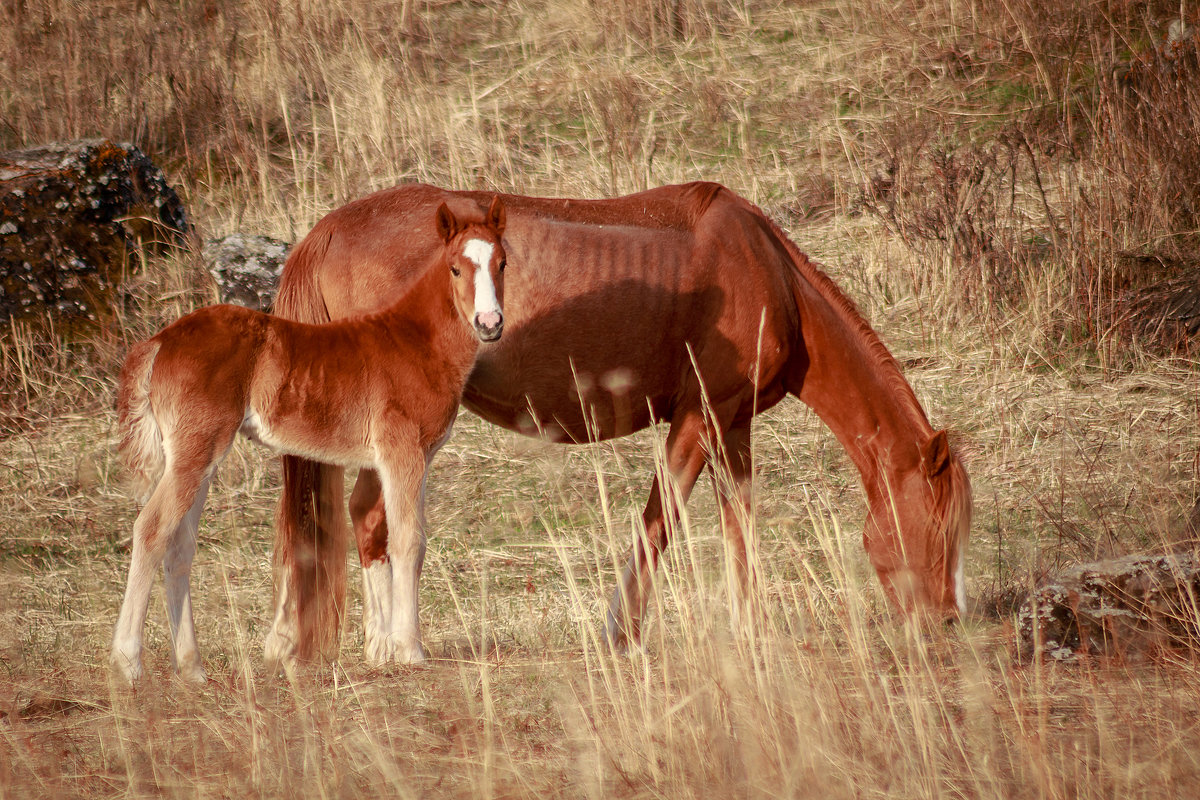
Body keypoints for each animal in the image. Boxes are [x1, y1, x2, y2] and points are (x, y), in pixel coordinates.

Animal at [110, 196, 508, 681]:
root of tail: (160, 342)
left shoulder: (413, 458)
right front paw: (410, 649)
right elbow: (408, 541)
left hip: (193, 455)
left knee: (178, 545)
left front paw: (389, 648)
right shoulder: (402, 453)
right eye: (455, 269)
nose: (489, 323)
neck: (414, 341)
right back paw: (127, 662)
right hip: (196, 450)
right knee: (151, 530)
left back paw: (192, 669)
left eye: (502, 263)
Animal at [260, 183, 964, 671]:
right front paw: (620, 633)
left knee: (361, 518)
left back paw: (380, 643)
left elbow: (738, 522)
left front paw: (749, 627)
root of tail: (325, 231)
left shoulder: (732, 424)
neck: (766, 273)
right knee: (372, 518)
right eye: (942, 525)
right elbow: (661, 521)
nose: (949, 622)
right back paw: (395, 644)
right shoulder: (699, 417)